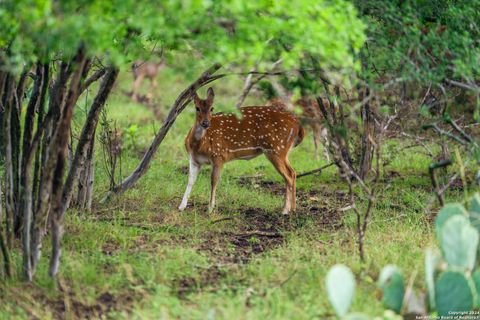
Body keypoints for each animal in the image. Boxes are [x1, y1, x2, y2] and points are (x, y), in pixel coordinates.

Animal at [178, 88, 306, 215]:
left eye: (212, 108)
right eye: (197, 108)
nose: (205, 123)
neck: (198, 146)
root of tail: (298, 124)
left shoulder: (219, 155)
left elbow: (213, 181)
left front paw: (210, 209)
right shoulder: (194, 160)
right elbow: (190, 180)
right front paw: (181, 206)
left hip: (276, 148)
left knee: (289, 175)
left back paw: (286, 210)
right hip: (282, 151)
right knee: (293, 173)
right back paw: (292, 209)